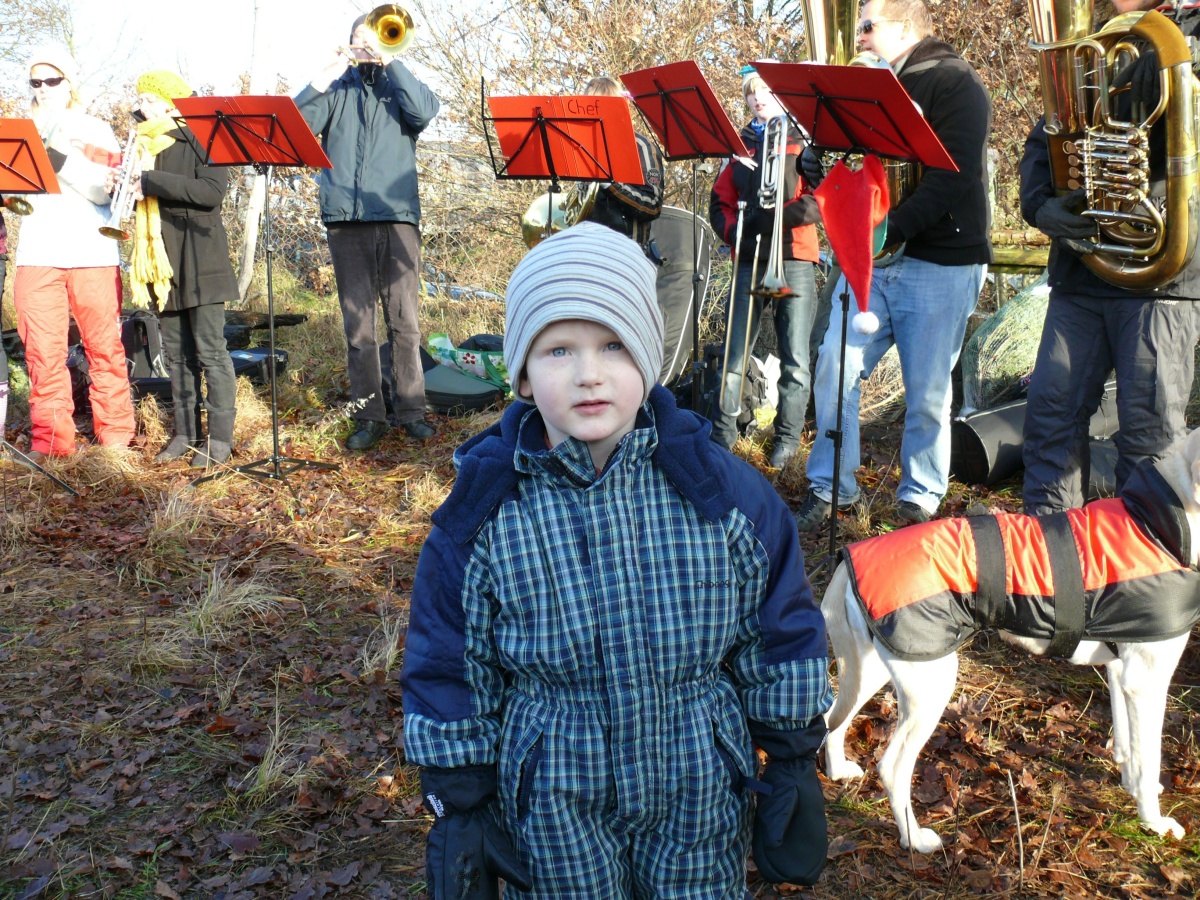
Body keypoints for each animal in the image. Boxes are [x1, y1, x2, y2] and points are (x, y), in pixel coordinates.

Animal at [820, 427, 1200, 854]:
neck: (1161, 523)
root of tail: (850, 556)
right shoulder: (1146, 681)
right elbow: (1148, 757)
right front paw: (1154, 822)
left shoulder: (1121, 673)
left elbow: (1130, 749)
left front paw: (1133, 787)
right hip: (932, 683)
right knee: (891, 768)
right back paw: (914, 839)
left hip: (875, 668)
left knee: (833, 718)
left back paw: (837, 771)